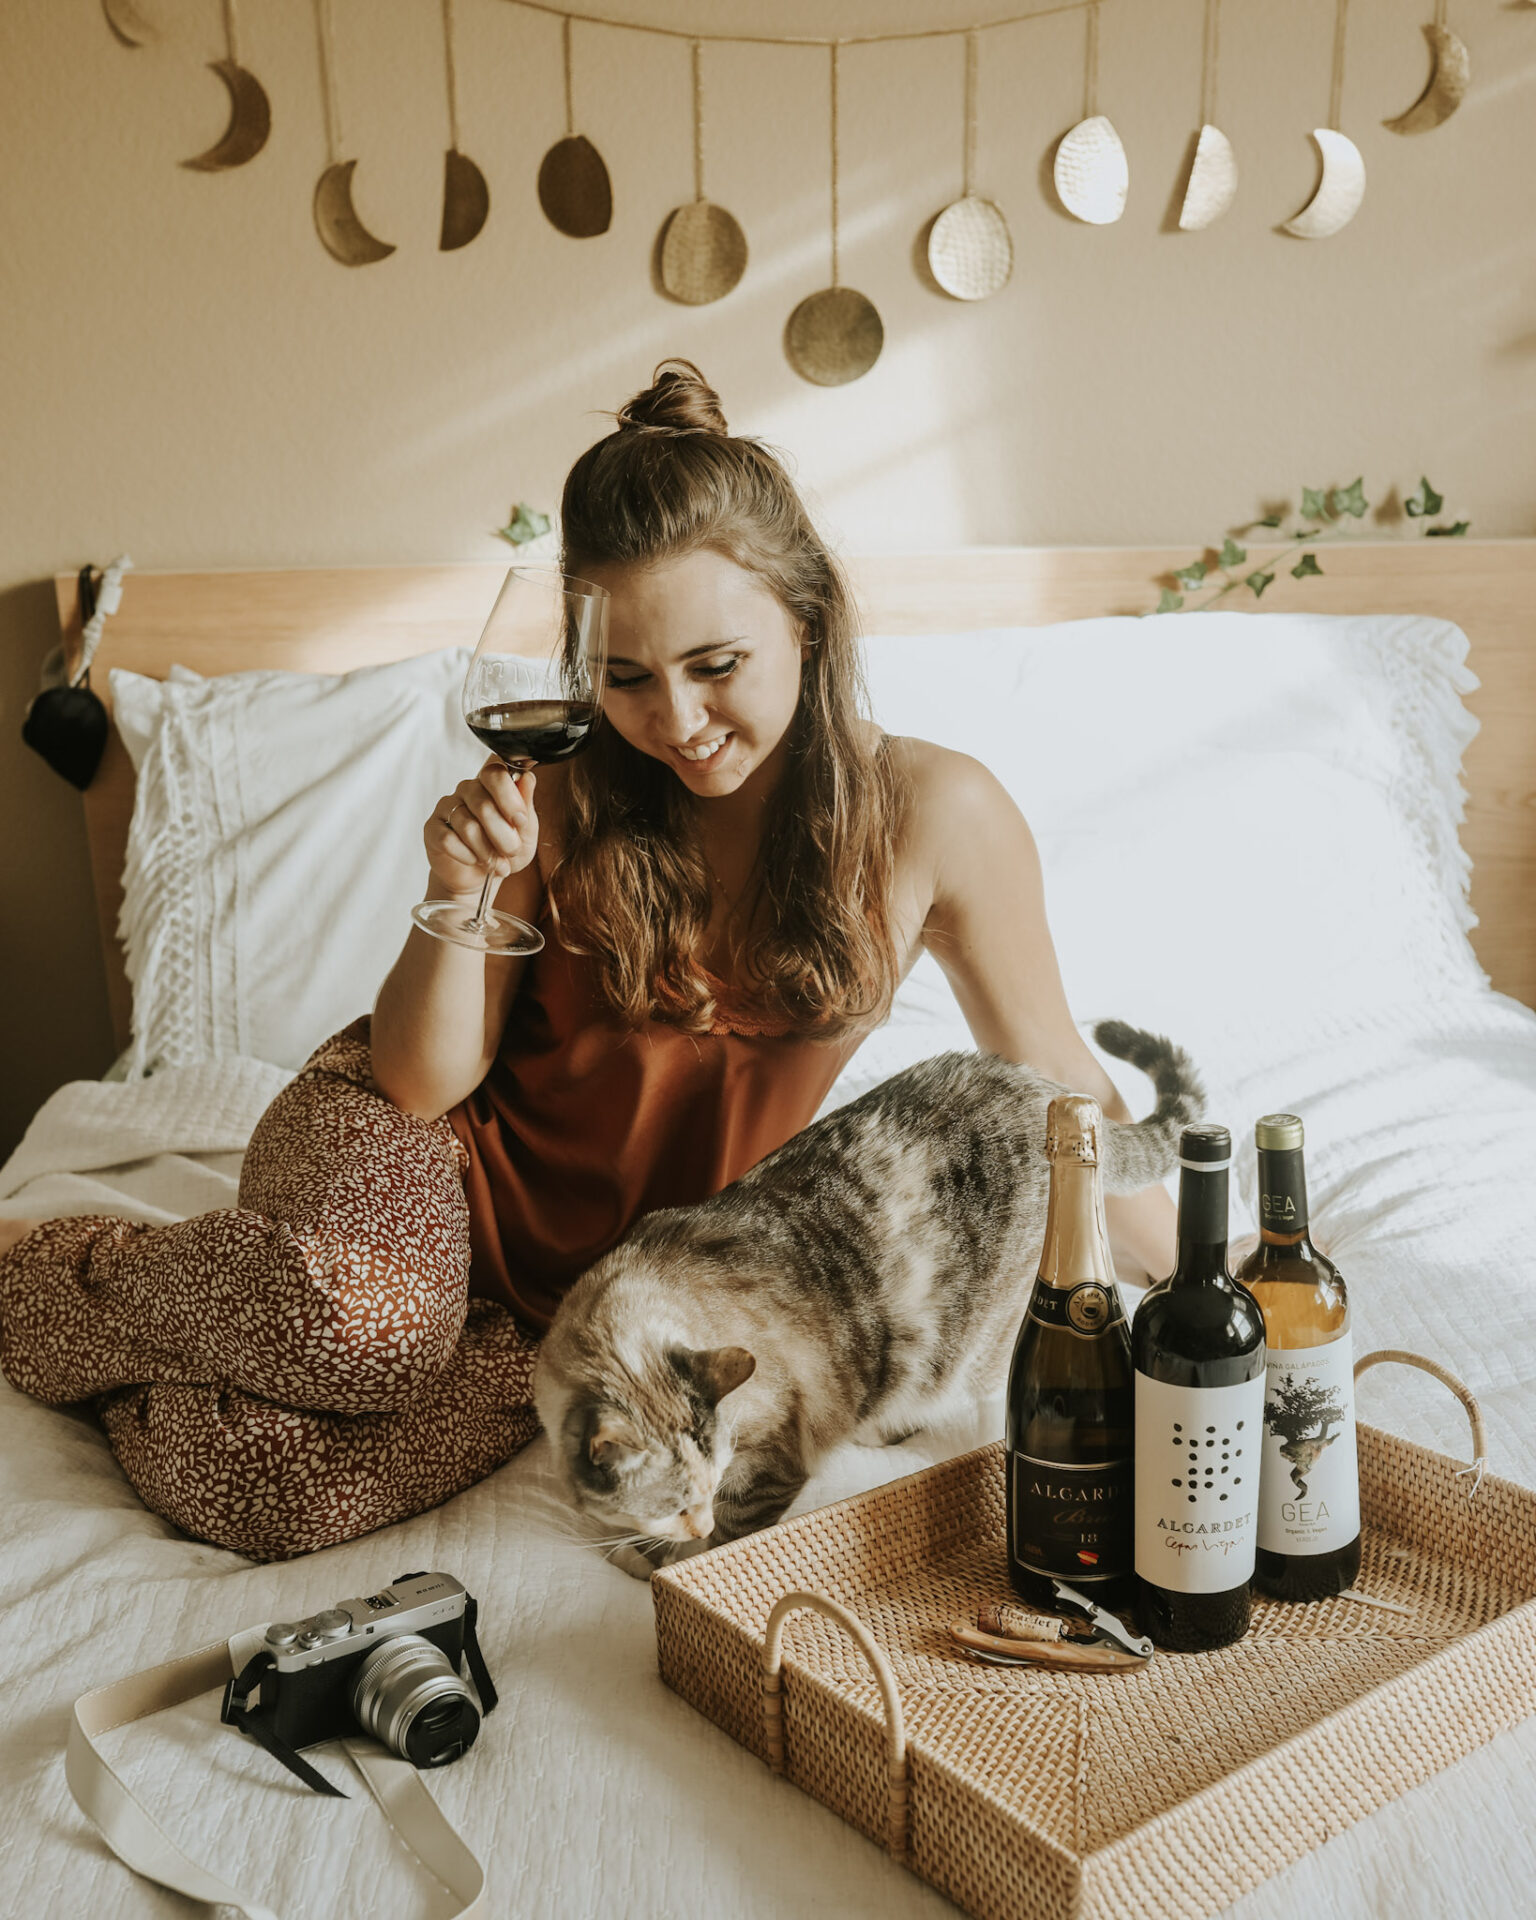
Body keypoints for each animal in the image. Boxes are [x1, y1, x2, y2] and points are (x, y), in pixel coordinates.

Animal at [533, 1021, 1205, 1574]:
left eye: (711, 1488)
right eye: (674, 1503)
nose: (695, 1523)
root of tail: (1039, 1084)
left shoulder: (768, 1467)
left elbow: (719, 1543)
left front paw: (669, 1562)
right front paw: (636, 1545)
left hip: (966, 1351)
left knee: (967, 1400)